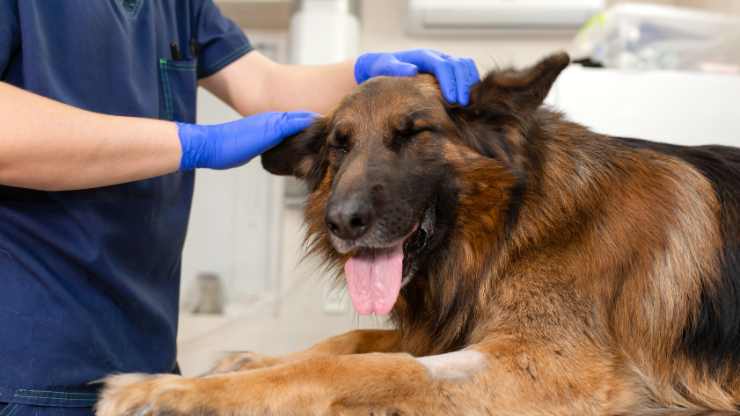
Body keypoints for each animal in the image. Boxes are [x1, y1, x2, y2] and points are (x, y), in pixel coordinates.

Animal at [95, 53, 740, 414]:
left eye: (413, 134)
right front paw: (247, 363)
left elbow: (372, 367)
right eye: (339, 145)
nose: (341, 223)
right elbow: (351, 339)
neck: (514, 223)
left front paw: (170, 394)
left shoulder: (546, 367)